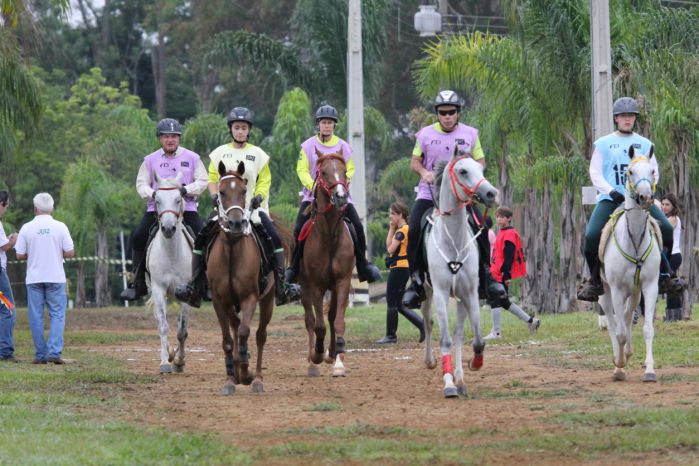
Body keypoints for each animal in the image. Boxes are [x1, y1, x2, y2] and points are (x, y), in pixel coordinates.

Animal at [208, 160, 274, 394]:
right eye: (221, 191)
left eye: (244, 190)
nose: (236, 223)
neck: (232, 248)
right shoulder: (220, 301)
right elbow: (228, 339)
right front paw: (230, 378)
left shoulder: (250, 297)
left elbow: (246, 332)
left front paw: (246, 372)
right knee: (235, 326)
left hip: (268, 299)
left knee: (260, 335)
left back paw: (257, 378)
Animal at [422, 154, 498, 396]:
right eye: (463, 171)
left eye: (480, 169)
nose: (491, 193)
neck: (453, 241)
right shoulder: (440, 292)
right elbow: (445, 339)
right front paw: (448, 384)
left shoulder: (470, 293)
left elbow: (476, 340)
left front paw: (474, 364)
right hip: (427, 292)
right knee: (428, 322)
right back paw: (431, 362)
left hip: (460, 299)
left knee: (457, 333)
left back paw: (461, 378)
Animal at [596, 147, 660, 382]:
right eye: (630, 171)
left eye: (652, 171)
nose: (646, 197)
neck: (634, 240)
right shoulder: (616, 289)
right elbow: (620, 331)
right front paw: (619, 366)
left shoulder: (650, 286)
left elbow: (648, 328)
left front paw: (649, 371)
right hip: (605, 291)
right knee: (613, 322)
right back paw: (619, 361)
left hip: (634, 291)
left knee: (626, 314)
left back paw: (629, 353)